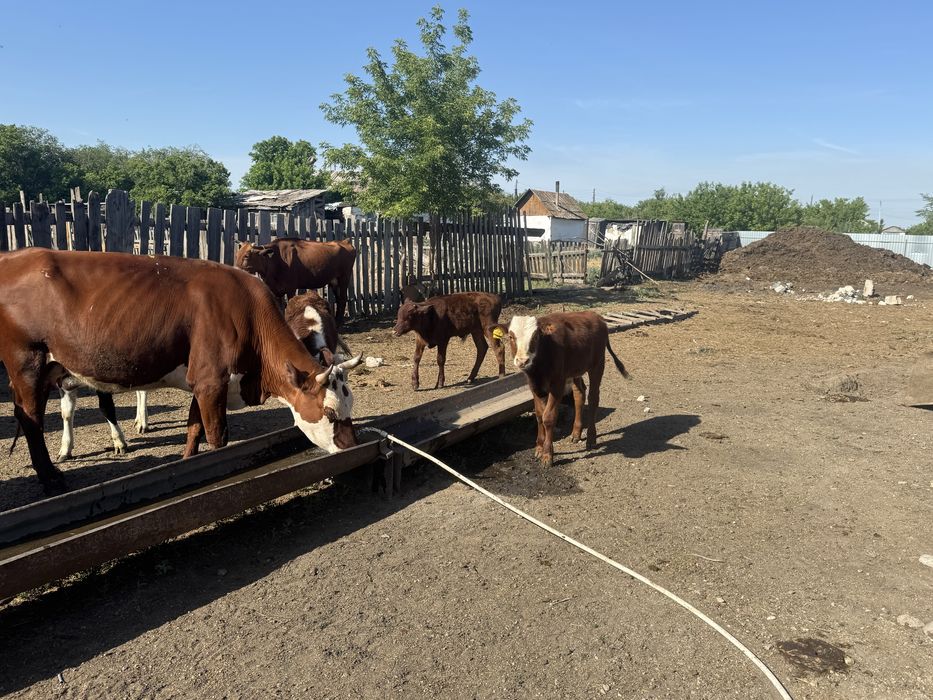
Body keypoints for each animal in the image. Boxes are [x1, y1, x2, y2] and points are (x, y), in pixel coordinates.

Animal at [0, 248, 361, 495]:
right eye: (330, 412)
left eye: (350, 407)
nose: (352, 448)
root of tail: (15, 256)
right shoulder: (212, 381)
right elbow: (216, 437)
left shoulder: (203, 381)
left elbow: (193, 430)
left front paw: (189, 466)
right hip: (26, 362)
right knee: (30, 419)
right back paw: (50, 478)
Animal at [490, 311, 630, 466]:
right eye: (510, 337)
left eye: (536, 336)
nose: (522, 361)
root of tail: (596, 316)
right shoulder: (534, 385)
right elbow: (539, 415)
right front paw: (539, 448)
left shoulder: (557, 383)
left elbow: (548, 417)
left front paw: (547, 454)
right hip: (575, 369)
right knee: (579, 394)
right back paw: (576, 433)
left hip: (597, 364)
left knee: (593, 398)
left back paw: (591, 439)